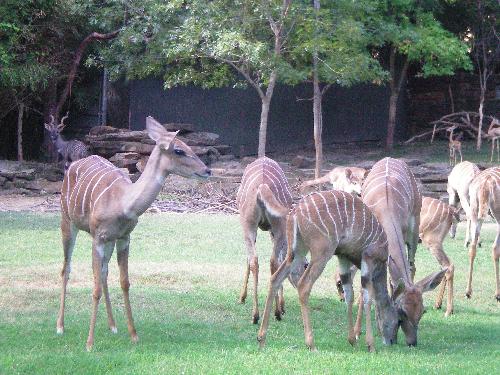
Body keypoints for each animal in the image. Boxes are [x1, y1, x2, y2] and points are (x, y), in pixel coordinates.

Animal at [55, 116, 210, 352]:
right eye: (179, 150)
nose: (207, 170)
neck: (123, 203)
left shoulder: (124, 237)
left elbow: (125, 282)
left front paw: (133, 335)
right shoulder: (97, 236)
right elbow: (95, 288)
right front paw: (89, 343)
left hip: (108, 241)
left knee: (104, 272)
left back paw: (112, 326)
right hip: (67, 221)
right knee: (66, 268)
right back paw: (60, 327)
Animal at [236, 157, 298, 324]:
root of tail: (262, 186)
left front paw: (242, 298)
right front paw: (282, 307)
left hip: (249, 226)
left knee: (255, 261)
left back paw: (255, 315)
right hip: (277, 227)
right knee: (273, 262)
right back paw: (276, 312)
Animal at [258, 191, 402, 352]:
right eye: (399, 319)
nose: (392, 341)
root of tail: (295, 212)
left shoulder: (343, 257)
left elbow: (349, 294)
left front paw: (352, 340)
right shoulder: (368, 258)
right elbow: (366, 297)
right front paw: (370, 345)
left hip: (296, 252)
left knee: (275, 278)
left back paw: (261, 338)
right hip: (322, 252)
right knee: (303, 285)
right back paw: (311, 344)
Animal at [362, 158, 448, 346]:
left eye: (423, 312)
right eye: (402, 312)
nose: (412, 342)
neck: (386, 209)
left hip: (415, 228)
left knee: (411, 266)